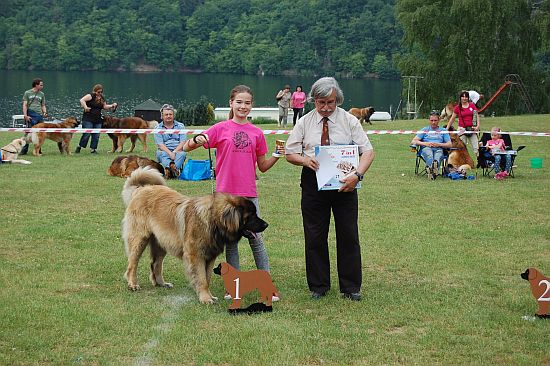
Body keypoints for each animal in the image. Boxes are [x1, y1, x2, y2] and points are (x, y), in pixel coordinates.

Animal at [121, 167, 270, 304]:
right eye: (250, 216)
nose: (266, 224)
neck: (212, 222)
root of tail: (141, 189)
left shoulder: (210, 257)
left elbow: (207, 278)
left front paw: (209, 296)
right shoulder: (196, 256)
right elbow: (202, 278)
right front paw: (205, 298)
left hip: (161, 242)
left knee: (155, 264)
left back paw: (161, 283)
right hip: (139, 239)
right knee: (132, 264)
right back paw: (133, 284)